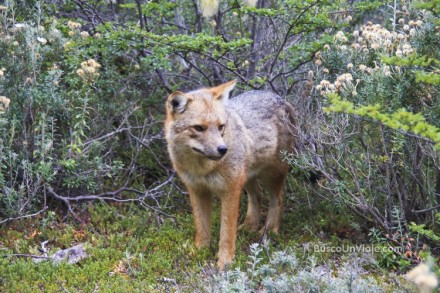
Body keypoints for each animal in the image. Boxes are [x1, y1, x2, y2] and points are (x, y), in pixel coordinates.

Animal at [164, 80, 296, 270]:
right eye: (198, 128)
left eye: (221, 127)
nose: (223, 149)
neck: (202, 169)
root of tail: (282, 99)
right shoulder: (197, 190)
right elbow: (201, 228)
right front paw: (199, 251)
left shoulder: (230, 191)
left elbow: (226, 232)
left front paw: (225, 262)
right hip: (247, 179)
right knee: (257, 196)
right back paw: (249, 226)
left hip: (271, 176)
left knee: (277, 199)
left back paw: (270, 231)